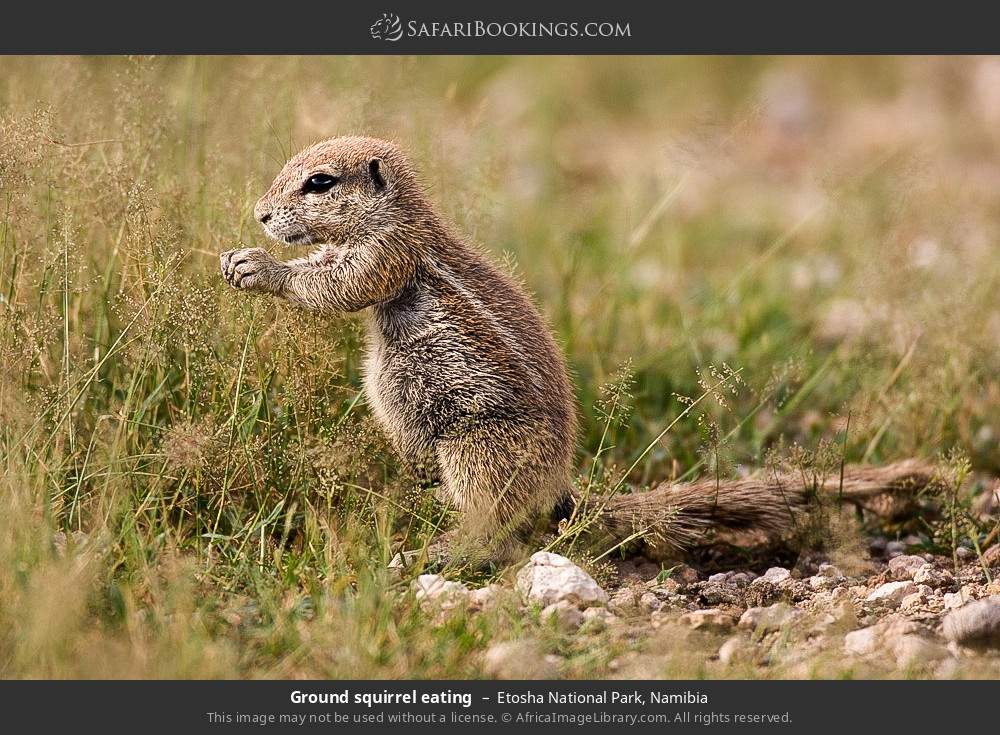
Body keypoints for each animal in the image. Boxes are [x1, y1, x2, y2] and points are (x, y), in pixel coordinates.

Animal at [221, 136, 935, 564]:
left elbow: (339, 284)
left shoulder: (388, 256)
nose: (258, 215)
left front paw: (260, 268)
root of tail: (560, 488)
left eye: (318, 183)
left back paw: (448, 549)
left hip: (479, 452)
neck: (407, 219)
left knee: (495, 520)